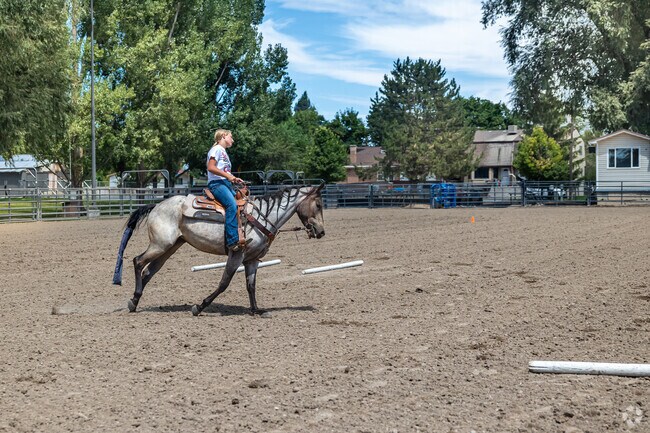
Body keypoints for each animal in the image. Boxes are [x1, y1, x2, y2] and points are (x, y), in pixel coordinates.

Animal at [112, 184, 325, 316]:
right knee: (138, 261)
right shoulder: (236, 254)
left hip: (169, 248)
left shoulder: (252, 260)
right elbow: (224, 283)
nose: (321, 231)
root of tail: (156, 205)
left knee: (148, 271)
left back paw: (135, 300)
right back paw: (133, 302)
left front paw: (256, 310)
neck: (262, 216)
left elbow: (251, 285)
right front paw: (199, 306)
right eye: (318, 204)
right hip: (160, 245)